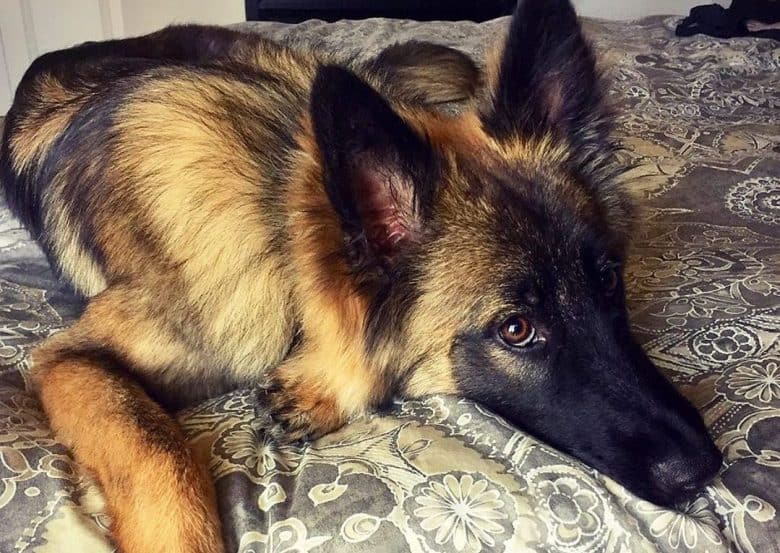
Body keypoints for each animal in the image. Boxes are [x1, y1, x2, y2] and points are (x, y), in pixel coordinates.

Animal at [0, 1, 724, 552]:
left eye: (609, 281)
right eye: (517, 329)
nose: (707, 469)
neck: (277, 222)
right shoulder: (68, 357)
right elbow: (156, 446)